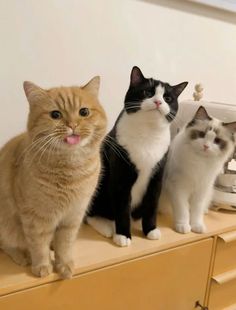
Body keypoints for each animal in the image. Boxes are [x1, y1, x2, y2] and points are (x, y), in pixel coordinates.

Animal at [0, 77, 107, 278]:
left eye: (84, 112)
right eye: (55, 115)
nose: (72, 125)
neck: (71, 168)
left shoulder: (72, 217)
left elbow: (64, 245)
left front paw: (63, 264)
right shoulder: (36, 219)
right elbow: (38, 245)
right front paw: (42, 266)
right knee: (6, 243)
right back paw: (22, 256)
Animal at [86, 66, 188, 246]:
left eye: (168, 98)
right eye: (147, 92)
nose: (158, 102)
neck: (147, 132)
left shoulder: (157, 177)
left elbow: (152, 204)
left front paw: (151, 229)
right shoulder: (121, 178)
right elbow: (122, 208)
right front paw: (123, 235)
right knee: (91, 214)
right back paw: (106, 227)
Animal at [163, 105, 236, 234]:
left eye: (217, 141)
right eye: (202, 134)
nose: (206, 146)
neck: (200, 162)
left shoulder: (201, 190)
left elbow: (196, 211)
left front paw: (197, 226)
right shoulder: (178, 188)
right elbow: (183, 210)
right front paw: (183, 226)